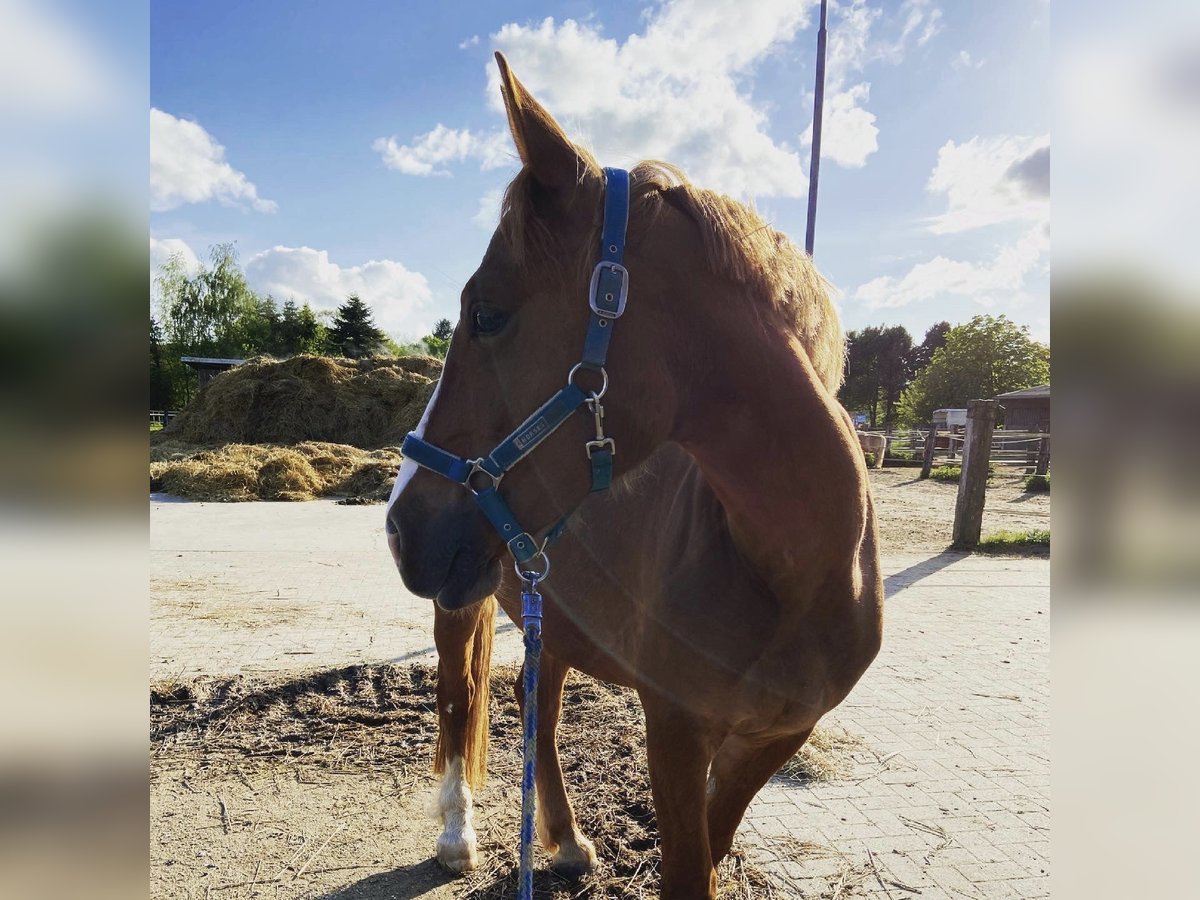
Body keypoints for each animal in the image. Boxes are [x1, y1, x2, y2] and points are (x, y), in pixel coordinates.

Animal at [386, 52, 883, 899]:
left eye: (487, 314)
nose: (398, 525)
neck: (797, 571)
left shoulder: (774, 737)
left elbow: (710, 855)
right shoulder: (675, 729)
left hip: (543, 607)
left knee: (536, 705)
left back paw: (563, 839)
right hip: (465, 602)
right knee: (458, 697)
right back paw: (458, 833)